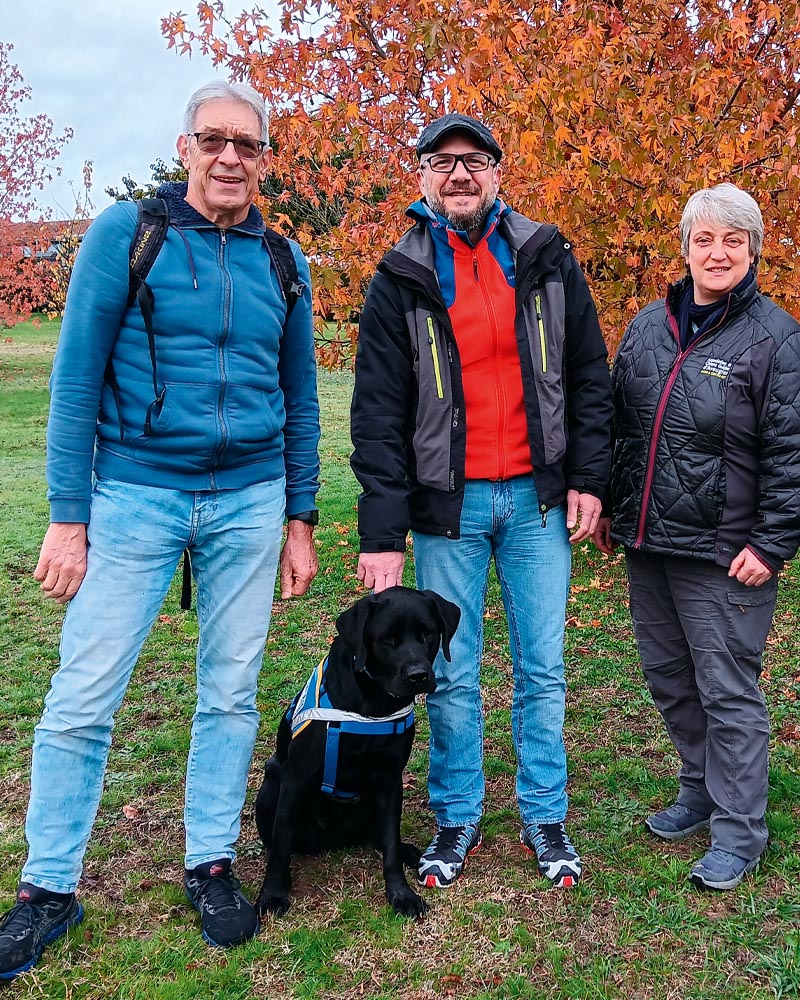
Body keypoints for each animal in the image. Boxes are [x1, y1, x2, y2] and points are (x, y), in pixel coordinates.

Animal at [253, 584, 460, 920]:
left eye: (427, 634)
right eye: (388, 640)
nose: (418, 675)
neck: (373, 703)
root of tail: (334, 840)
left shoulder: (390, 780)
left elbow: (390, 844)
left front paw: (401, 894)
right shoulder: (295, 780)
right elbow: (281, 846)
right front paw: (272, 894)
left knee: (381, 836)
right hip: (272, 786)